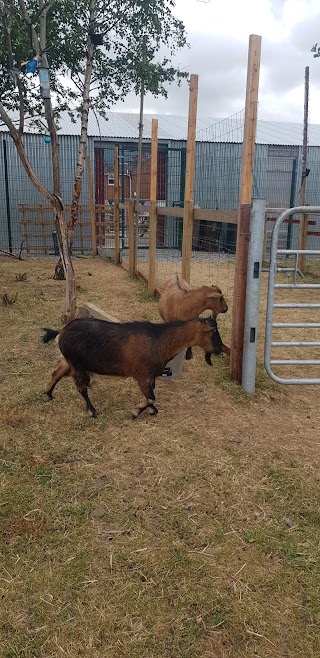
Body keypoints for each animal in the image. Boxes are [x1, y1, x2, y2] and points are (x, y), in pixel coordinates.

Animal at [42, 316, 224, 418]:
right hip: (78, 365)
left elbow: (151, 396)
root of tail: (62, 332)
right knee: (81, 388)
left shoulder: (151, 377)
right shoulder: (142, 376)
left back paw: (48, 394)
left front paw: (151, 410)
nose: (221, 348)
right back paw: (92, 411)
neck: (160, 340)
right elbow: (151, 397)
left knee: (56, 373)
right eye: (213, 332)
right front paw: (136, 412)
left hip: (69, 361)